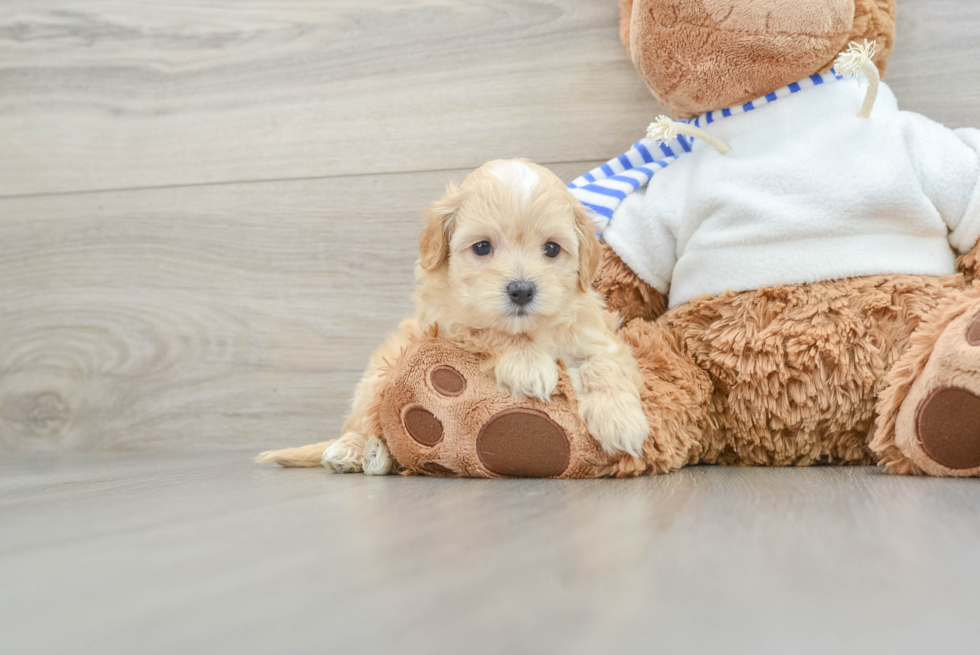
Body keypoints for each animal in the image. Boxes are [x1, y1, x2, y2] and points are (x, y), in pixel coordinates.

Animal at [258, 159, 652, 476]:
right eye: (482, 247)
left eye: (552, 249)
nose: (522, 290)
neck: (531, 329)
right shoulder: (449, 323)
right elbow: (491, 331)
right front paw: (528, 364)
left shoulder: (594, 331)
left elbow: (605, 363)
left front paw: (622, 421)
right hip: (378, 378)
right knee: (364, 422)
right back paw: (354, 451)